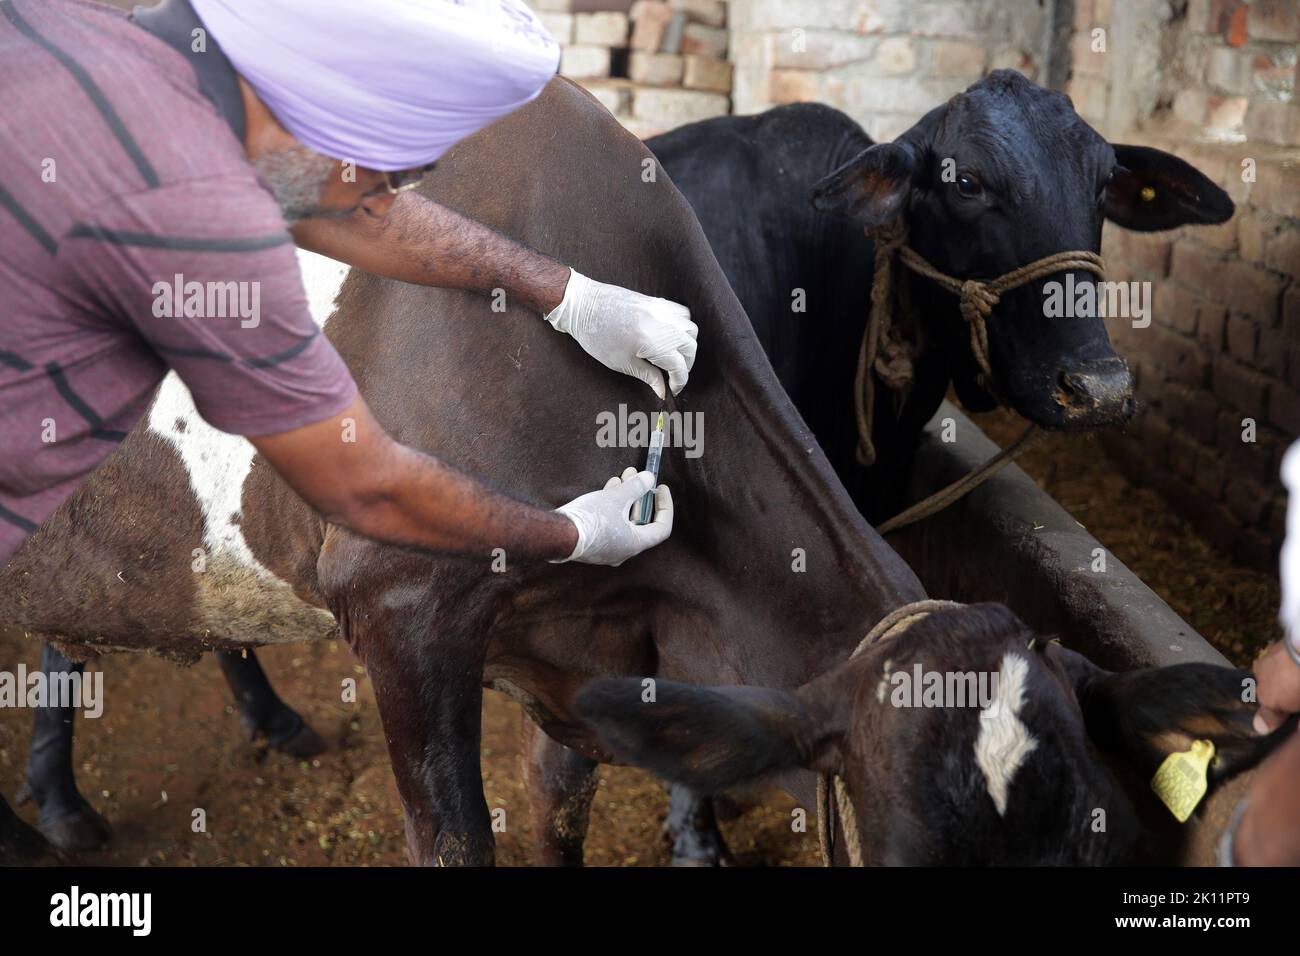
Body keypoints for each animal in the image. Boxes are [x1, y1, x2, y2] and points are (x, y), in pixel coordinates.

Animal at [0, 82, 1279, 868]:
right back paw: (55, 806)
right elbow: (458, 834)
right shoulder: (403, 602)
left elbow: (559, 805)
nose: (1099, 384)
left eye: (1091, 840)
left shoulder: (576, 647)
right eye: (960, 181)